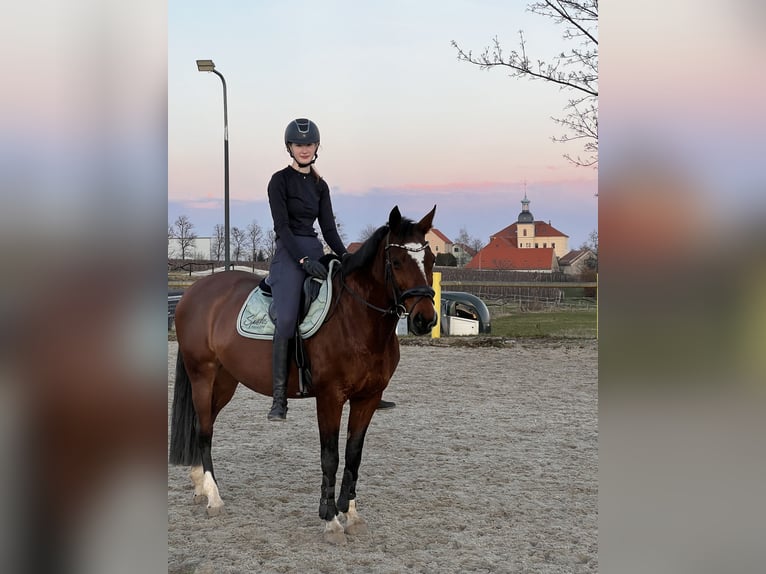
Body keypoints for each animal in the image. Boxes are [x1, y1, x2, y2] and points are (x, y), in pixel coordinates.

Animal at [171, 206, 440, 544]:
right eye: (397, 261)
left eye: (431, 260)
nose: (424, 320)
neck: (355, 319)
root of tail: (193, 292)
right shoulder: (329, 397)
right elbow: (331, 456)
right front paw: (331, 520)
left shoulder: (368, 398)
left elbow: (353, 454)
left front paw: (350, 514)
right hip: (203, 376)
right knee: (205, 430)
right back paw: (214, 498)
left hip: (224, 382)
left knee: (200, 425)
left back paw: (200, 486)